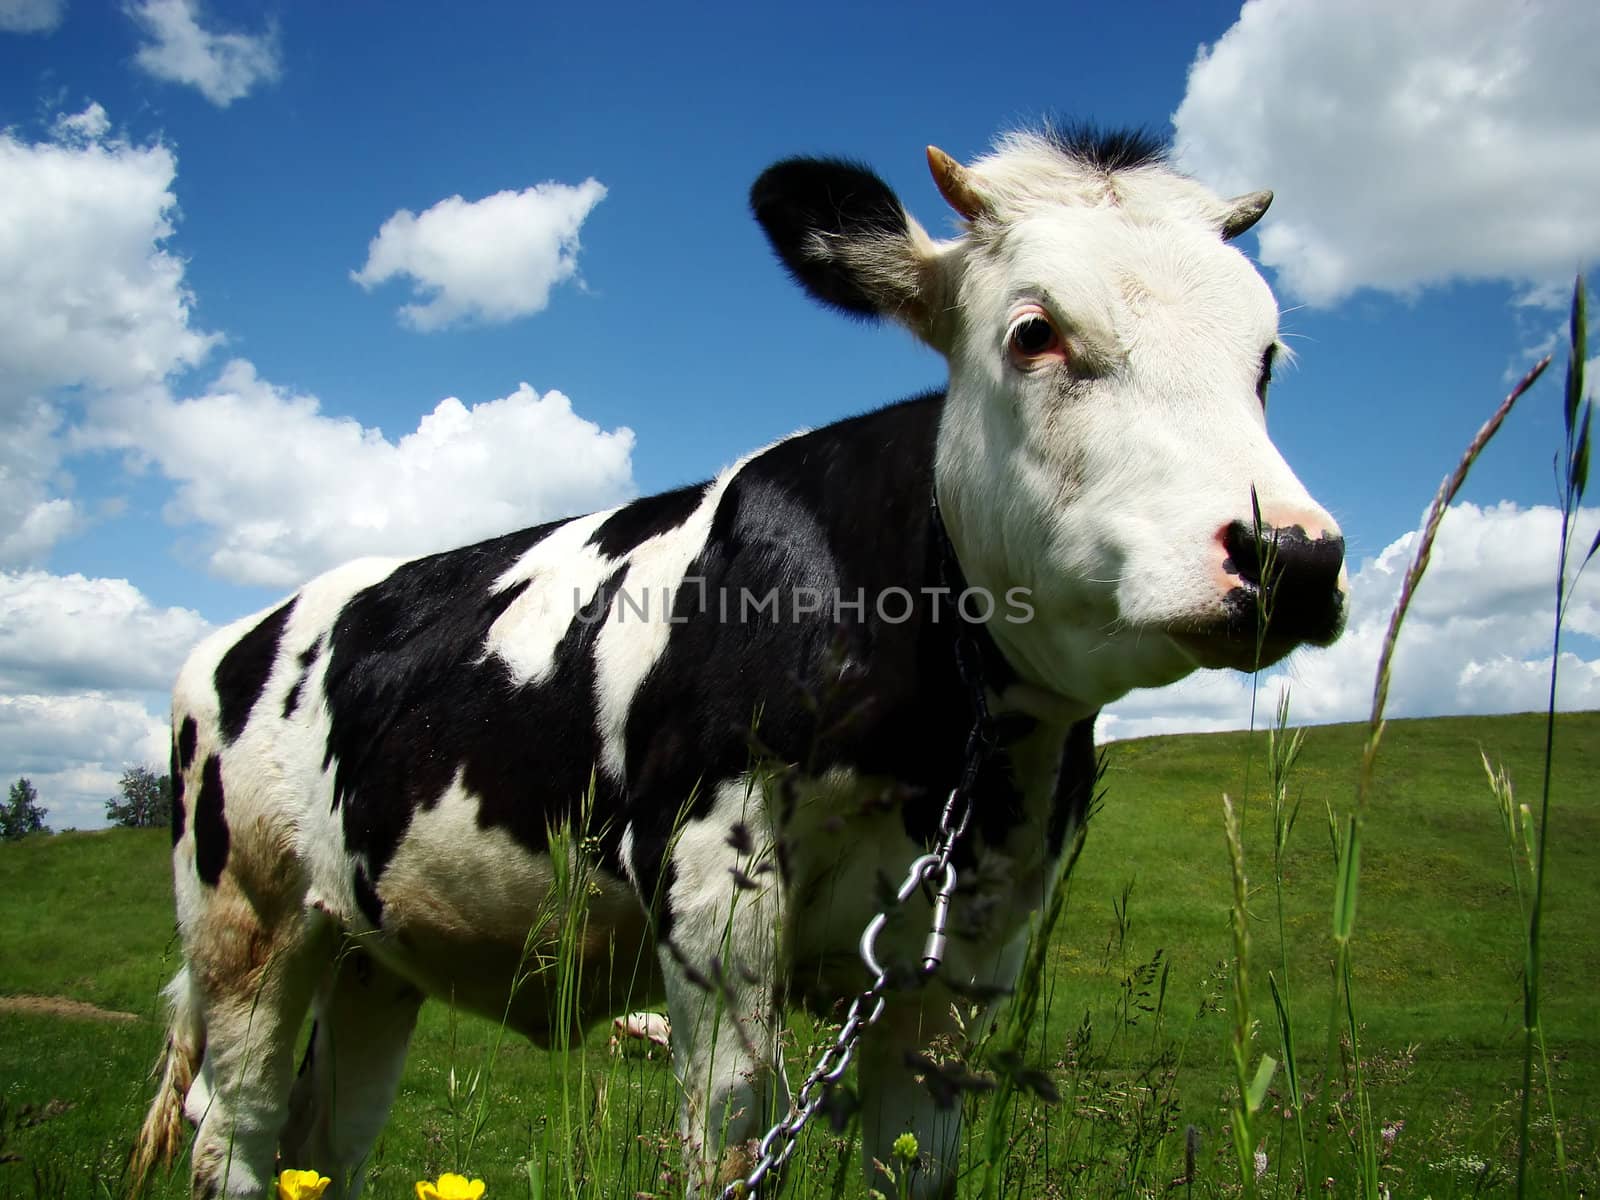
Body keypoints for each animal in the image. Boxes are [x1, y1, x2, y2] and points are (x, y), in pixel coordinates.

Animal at [131, 124, 1344, 1200]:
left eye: (1266, 358)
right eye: (1035, 331)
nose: (1293, 554)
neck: (943, 752)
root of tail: (235, 637)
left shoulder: (972, 946)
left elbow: (916, 1165)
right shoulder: (713, 888)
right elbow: (729, 1150)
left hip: (373, 957)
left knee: (323, 1147)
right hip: (248, 924)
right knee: (231, 1139)